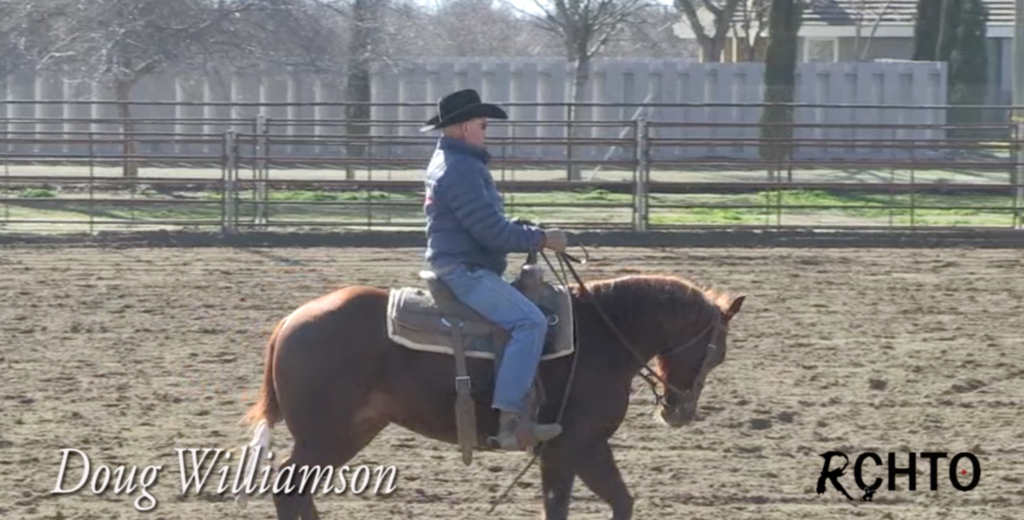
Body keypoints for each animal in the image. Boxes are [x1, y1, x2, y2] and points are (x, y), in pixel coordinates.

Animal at [237, 251, 745, 520]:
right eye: (716, 351)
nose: (679, 412)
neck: (600, 334)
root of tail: (289, 321)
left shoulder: (568, 451)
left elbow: (591, 504)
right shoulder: (578, 446)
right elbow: (600, 503)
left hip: (351, 431)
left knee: (297, 487)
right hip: (326, 434)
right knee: (289, 485)